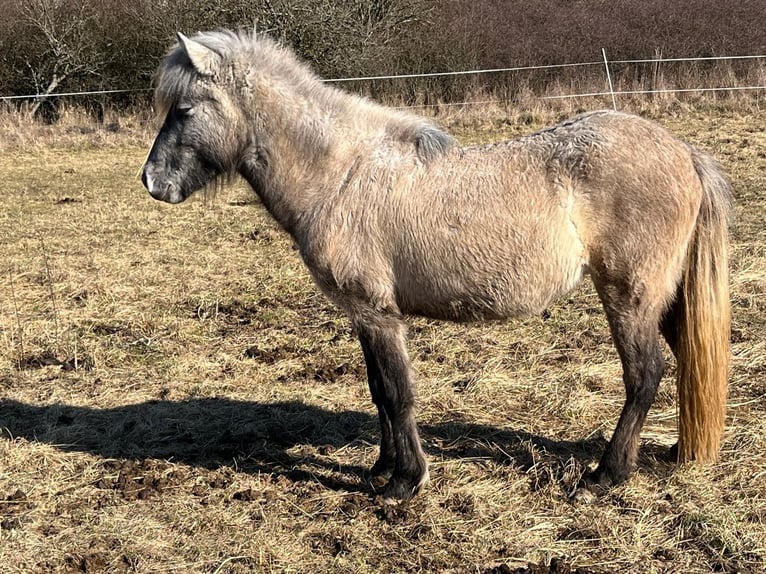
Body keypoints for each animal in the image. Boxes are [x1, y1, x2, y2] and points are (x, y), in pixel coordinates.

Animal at [141, 30, 736, 504]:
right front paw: (380, 470)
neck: (341, 174)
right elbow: (379, 392)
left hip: (629, 295)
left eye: (185, 109)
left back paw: (605, 476)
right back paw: (676, 450)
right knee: (686, 362)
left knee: (644, 375)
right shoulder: (365, 315)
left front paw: (405, 482)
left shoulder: (376, 312)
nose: (152, 182)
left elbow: (397, 392)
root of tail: (684, 152)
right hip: (664, 299)